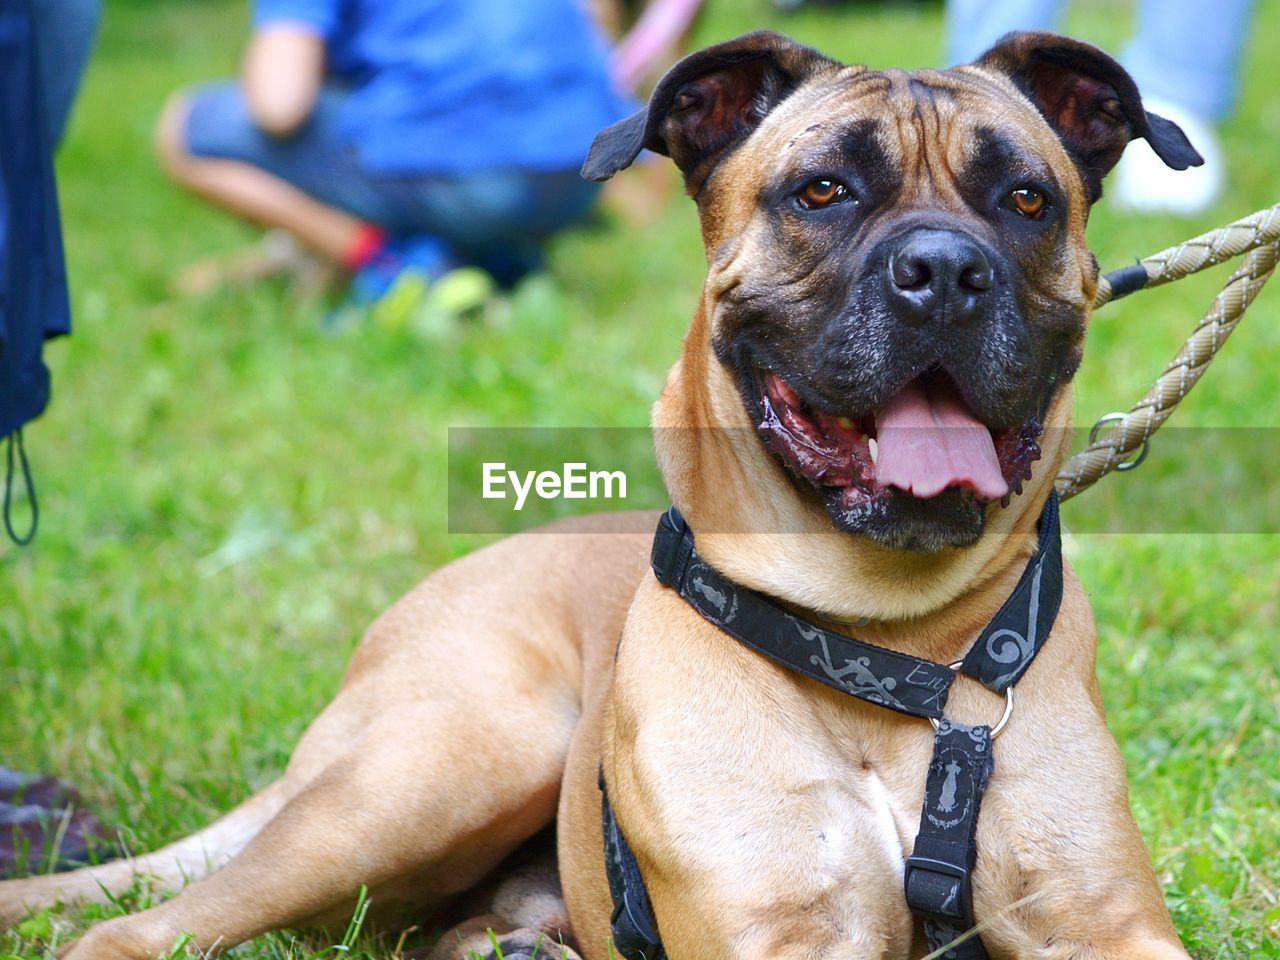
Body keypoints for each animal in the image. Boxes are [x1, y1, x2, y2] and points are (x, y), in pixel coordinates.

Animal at [2, 30, 1198, 960]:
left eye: (1025, 199)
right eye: (823, 190)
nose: (946, 271)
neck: (886, 644)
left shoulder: (1101, 919)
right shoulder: (781, 925)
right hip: (433, 773)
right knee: (138, 929)